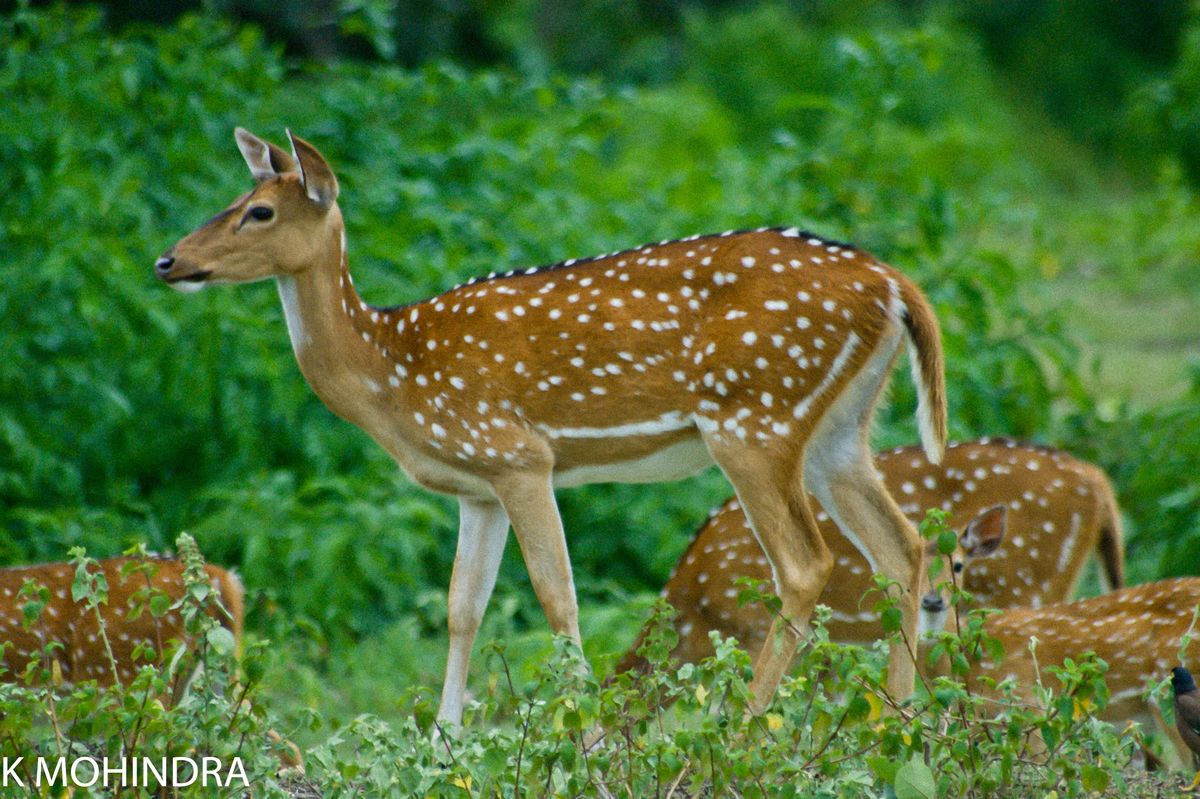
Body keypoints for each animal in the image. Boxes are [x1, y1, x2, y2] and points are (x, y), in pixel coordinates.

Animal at [154, 128, 947, 723]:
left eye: (259, 211)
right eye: (236, 198)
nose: (168, 260)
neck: (394, 375)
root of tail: (894, 285)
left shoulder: (518, 454)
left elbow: (555, 595)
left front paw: (579, 731)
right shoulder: (476, 485)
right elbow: (463, 607)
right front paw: (444, 737)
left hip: (755, 417)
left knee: (805, 564)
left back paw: (750, 727)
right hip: (838, 431)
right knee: (902, 546)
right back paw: (897, 723)